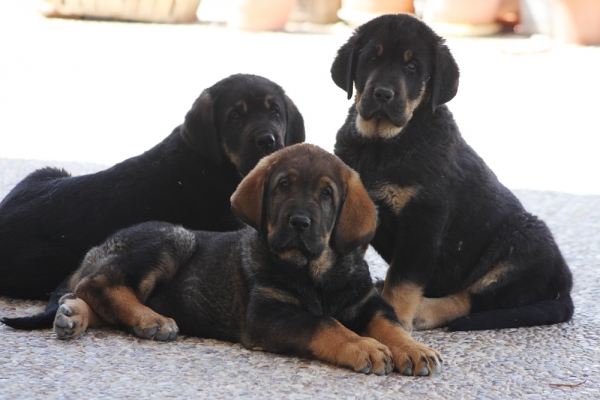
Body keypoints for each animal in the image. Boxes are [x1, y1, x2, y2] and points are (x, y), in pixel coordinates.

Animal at [0, 74, 304, 306]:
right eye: (235, 117)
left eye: (275, 111)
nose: (267, 140)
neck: (215, 163)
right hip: (51, 260)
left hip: (48, 171)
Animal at [7, 145, 442, 376]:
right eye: (283, 186)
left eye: (326, 194)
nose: (299, 222)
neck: (315, 273)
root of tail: (98, 247)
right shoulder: (269, 314)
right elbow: (325, 324)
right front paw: (363, 347)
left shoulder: (367, 303)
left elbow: (391, 325)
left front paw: (413, 349)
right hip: (174, 237)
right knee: (98, 284)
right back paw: (150, 319)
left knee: (91, 296)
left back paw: (74, 317)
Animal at [330, 13, 576, 332]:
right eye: (371, 59)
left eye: (412, 67)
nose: (383, 93)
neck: (382, 144)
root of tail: (563, 290)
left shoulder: (423, 217)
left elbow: (404, 278)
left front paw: (394, 318)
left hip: (525, 238)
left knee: (473, 298)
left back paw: (422, 311)